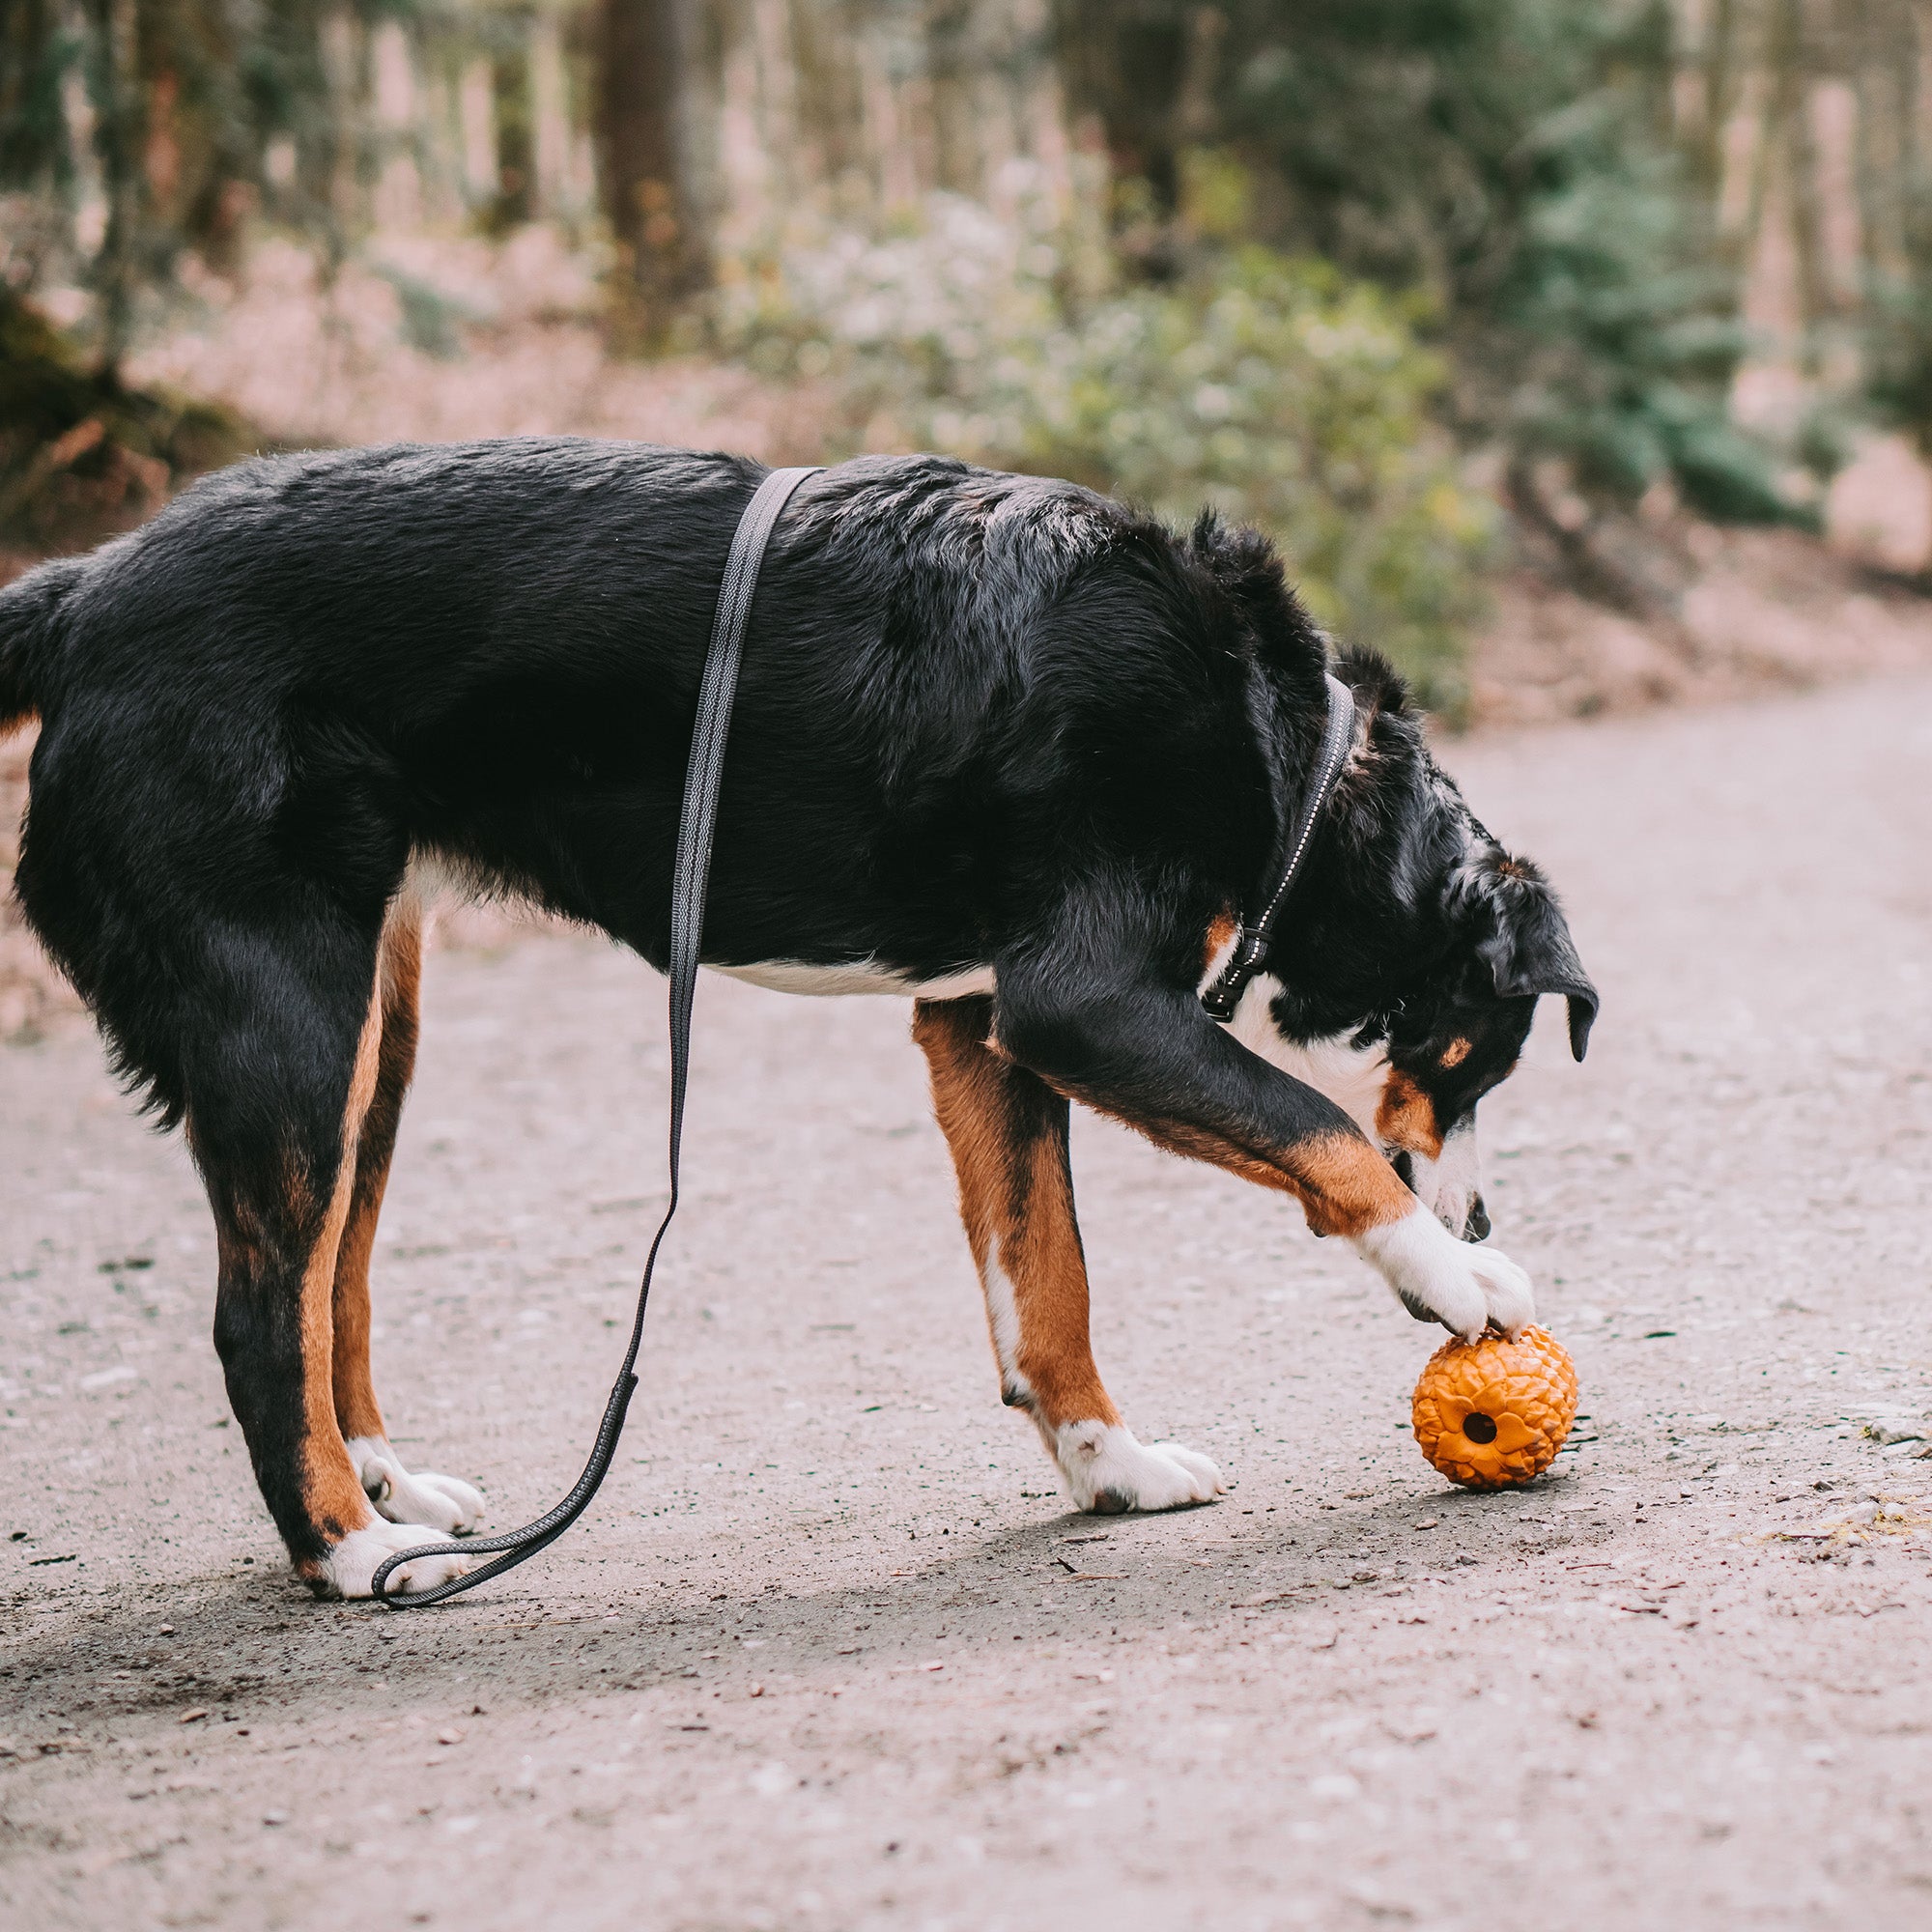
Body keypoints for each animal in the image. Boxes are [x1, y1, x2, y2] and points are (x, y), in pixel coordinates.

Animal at [0, 442, 1600, 1600]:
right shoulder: (1083, 1006)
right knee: (257, 1319)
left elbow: (1048, 1280)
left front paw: (1110, 1470)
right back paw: (349, 1551)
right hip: (287, 1020)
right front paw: (1455, 1279)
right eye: (1473, 1059)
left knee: (334, 1284)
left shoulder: (982, 1027)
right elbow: (1321, 1131)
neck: (1286, 749)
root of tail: (81, 595)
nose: (1473, 1210)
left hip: (370, 1036)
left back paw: (395, 1493)